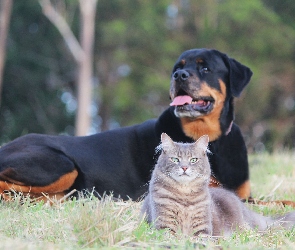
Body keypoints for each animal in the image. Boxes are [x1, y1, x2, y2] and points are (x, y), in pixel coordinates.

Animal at [142, 133, 295, 236]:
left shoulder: (202, 228)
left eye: (193, 160)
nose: (184, 167)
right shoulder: (164, 225)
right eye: (175, 160)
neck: (184, 195)